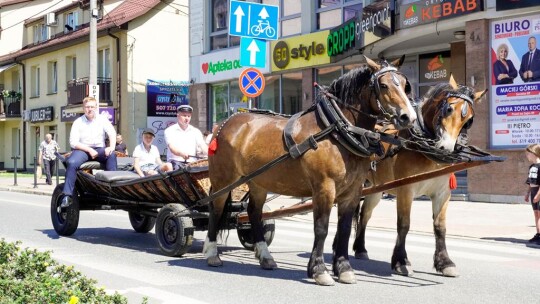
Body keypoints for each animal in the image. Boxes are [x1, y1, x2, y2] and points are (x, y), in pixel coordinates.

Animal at [204, 56, 418, 284]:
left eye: (404, 84)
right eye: (383, 85)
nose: (408, 117)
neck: (337, 130)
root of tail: (225, 124)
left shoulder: (353, 190)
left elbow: (343, 229)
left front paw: (344, 268)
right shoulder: (324, 187)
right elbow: (321, 228)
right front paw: (319, 270)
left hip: (258, 181)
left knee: (254, 212)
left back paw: (265, 257)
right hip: (224, 179)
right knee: (215, 209)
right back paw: (212, 253)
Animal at [352, 75, 488, 276]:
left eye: (469, 119)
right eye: (448, 109)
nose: (445, 148)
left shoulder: (442, 193)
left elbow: (440, 227)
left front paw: (444, 262)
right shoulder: (405, 190)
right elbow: (404, 224)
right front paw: (401, 261)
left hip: (375, 188)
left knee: (364, 214)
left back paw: (360, 249)